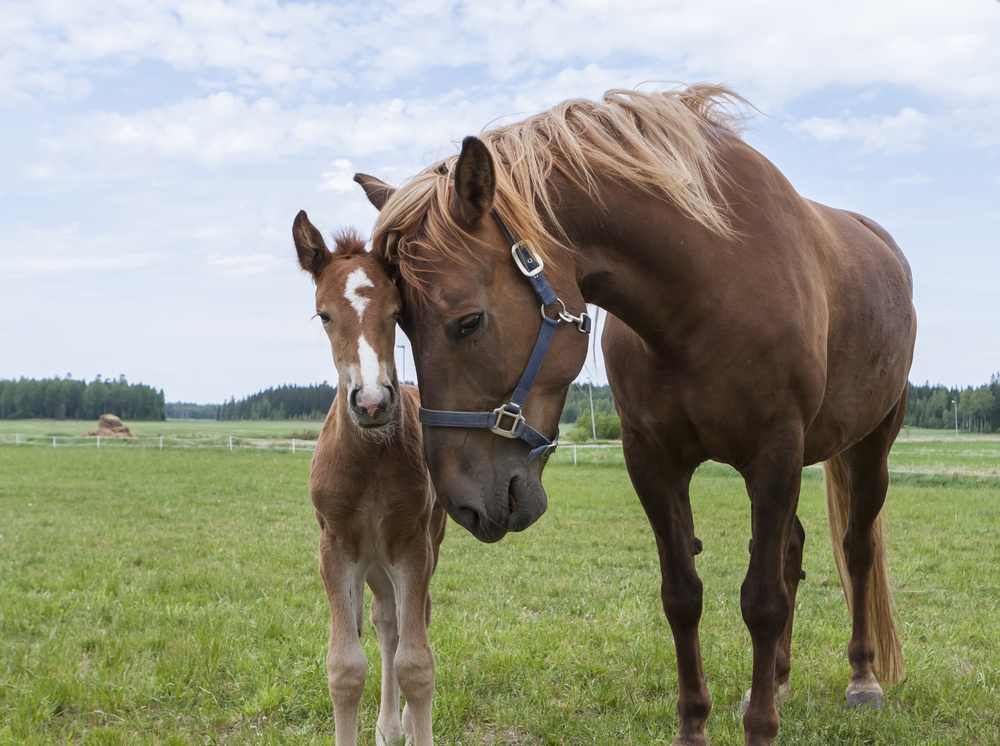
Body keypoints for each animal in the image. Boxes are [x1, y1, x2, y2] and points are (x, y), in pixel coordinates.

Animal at [293, 211, 447, 746]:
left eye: (397, 311)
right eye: (322, 314)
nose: (372, 402)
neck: (371, 462)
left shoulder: (413, 546)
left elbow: (416, 664)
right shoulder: (335, 547)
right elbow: (345, 667)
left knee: (406, 621)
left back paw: (400, 725)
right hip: (373, 559)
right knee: (384, 621)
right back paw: (387, 726)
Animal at [353, 85, 916, 746]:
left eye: (468, 321)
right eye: (401, 323)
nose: (463, 504)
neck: (708, 285)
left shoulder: (773, 454)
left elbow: (762, 601)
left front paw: (760, 728)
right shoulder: (653, 462)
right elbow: (683, 596)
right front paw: (698, 726)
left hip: (869, 446)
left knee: (856, 551)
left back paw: (862, 680)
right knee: (794, 548)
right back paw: (774, 679)